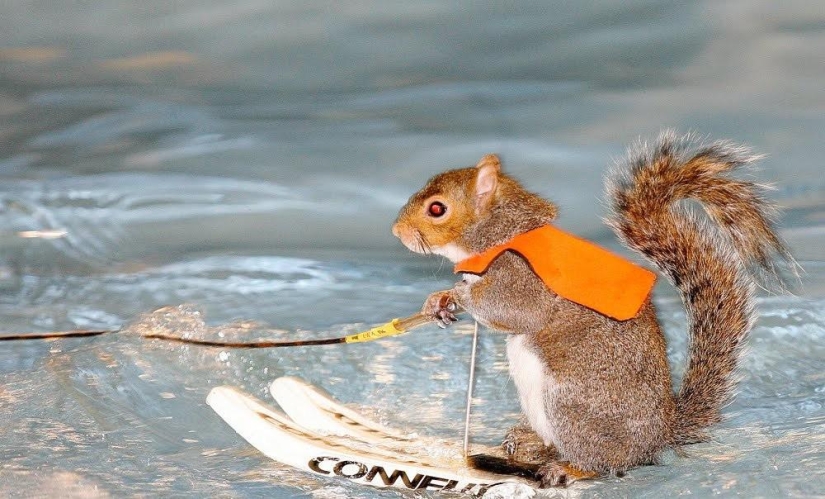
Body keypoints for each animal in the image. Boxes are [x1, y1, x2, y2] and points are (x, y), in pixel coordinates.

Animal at [391, 131, 795, 487]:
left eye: (437, 209)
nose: (396, 231)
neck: (504, 232)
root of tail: (658, 437)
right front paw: (435, 303)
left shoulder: (520, 276)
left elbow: (517, 309)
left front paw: (456, 294)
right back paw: (529, 442)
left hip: (570, 404)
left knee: (604, 463)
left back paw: (569, 468)